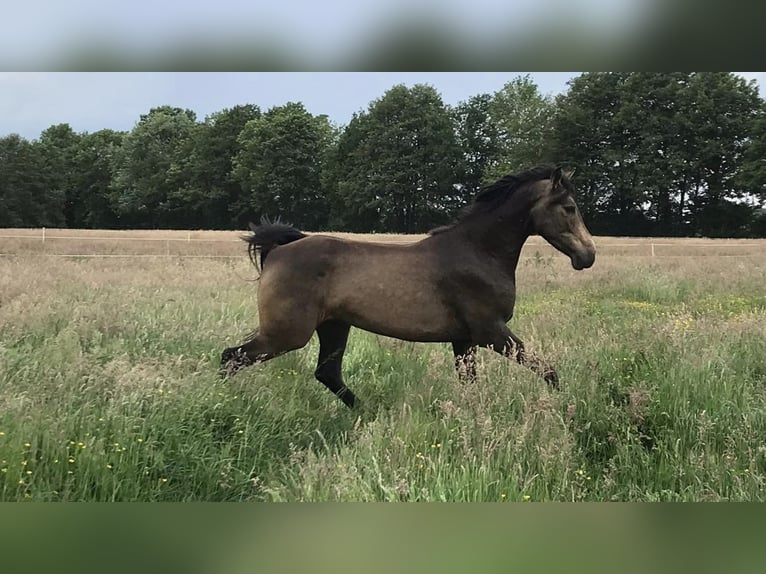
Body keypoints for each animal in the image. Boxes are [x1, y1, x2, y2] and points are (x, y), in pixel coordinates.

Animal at [219, 166, 596, 410]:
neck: (478, 251)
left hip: (334, 326)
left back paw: (369, 416)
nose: (588, 256)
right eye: (569, 207)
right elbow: (548, 371)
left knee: (327, 373)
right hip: (287, 334)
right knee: (231, 358)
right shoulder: (491, 331)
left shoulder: (464, 340)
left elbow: (471, 385)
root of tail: (277, 250)